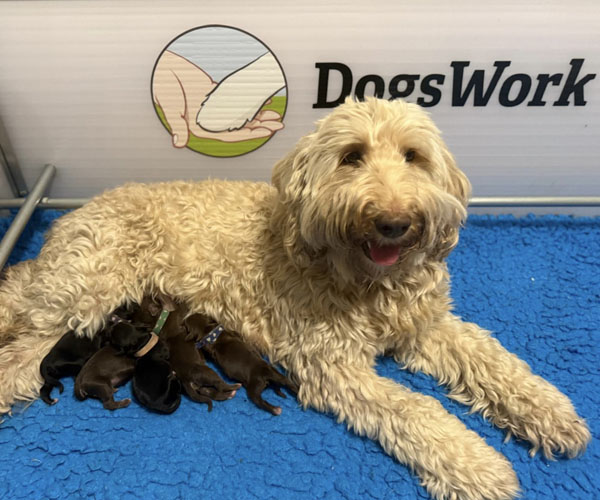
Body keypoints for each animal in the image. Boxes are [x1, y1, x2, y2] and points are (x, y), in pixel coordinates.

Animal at [0, 98, 590, 500]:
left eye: (414, 157)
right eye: (351, 157)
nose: (394, 221)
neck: (364, 281)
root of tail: (65, 224)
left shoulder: (424, 326)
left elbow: (488, 356)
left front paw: (546, 410)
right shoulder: (333, 364)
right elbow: (414, 407)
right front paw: (474, 463)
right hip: (83, 299)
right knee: (17, 357)